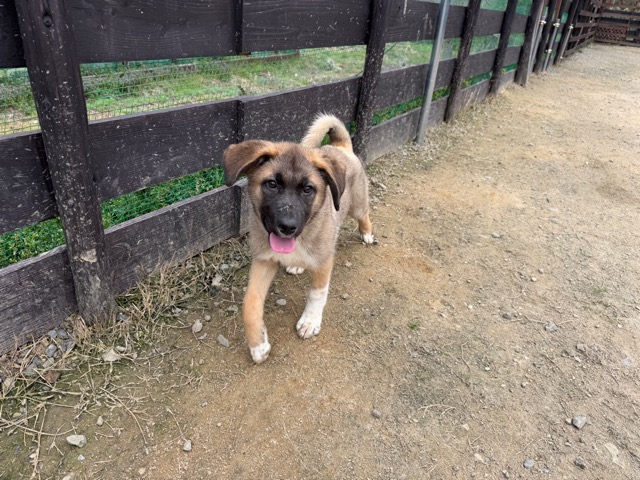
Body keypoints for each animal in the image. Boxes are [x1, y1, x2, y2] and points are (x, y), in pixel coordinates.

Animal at [223, 114, 374, 363]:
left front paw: (310, 321)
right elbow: (250, 304)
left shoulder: (324, 261)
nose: (287, 227)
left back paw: (368, 234)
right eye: (272, 184)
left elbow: (317, 293)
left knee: (365, 214)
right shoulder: (264, 260)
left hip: (358, 206)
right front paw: (258, 345)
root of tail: (341, 147)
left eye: (308, 189)